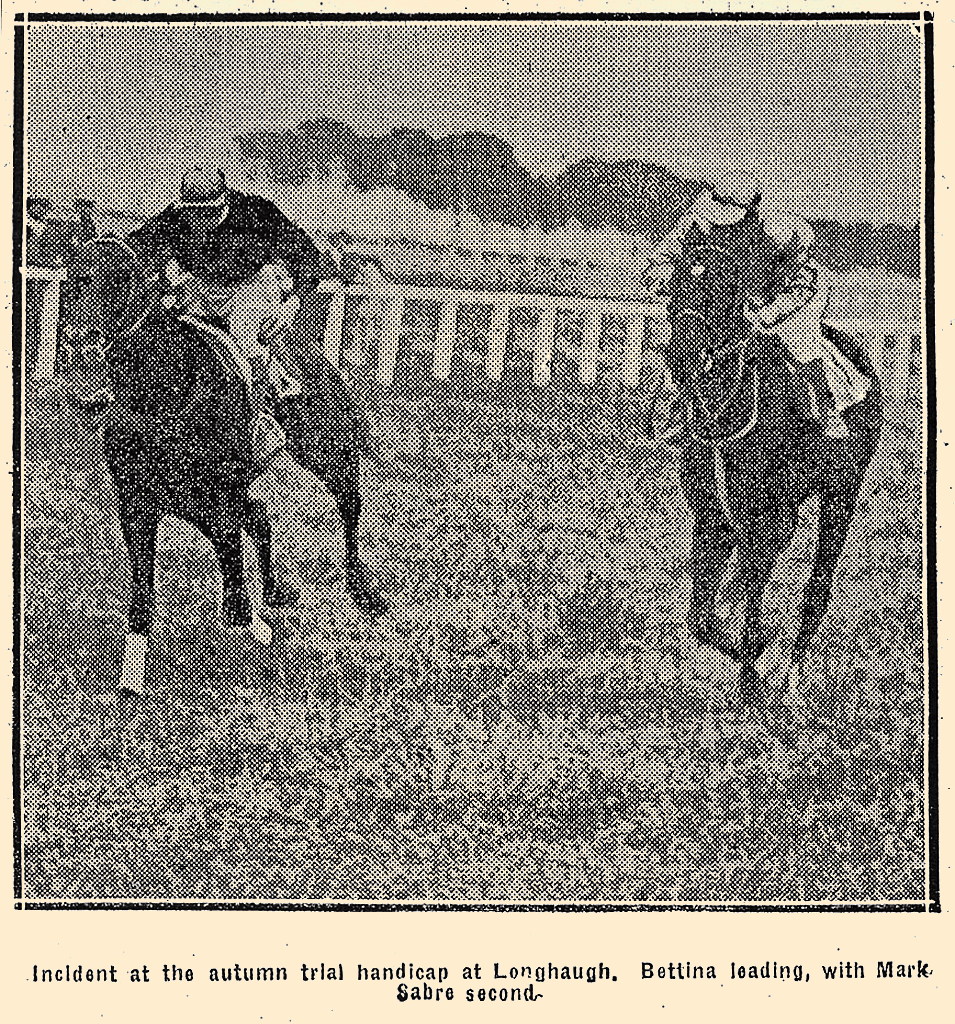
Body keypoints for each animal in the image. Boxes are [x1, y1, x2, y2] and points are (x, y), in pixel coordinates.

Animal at [63, 234, 386, 696]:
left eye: (125, 277)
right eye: (72, 276)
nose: (80, 341)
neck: (164, 396)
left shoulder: (215, 503)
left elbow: (233, 568)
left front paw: (255, 632)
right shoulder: (140, 505)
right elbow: (144, 588)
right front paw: (132, 676)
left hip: (328, 457)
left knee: (348, 508)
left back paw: (361, 589)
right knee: (260, 519)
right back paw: (273, 593)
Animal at [663, 207, 880, 704]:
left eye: (722, 279)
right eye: (679, 274)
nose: (683, 356)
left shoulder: (765, 513)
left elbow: (751, 582)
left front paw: (752, 669)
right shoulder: (714, 512)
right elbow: (704, 602)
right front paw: (733, 644)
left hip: (838, 498)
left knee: (818, 582)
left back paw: (793, 671)